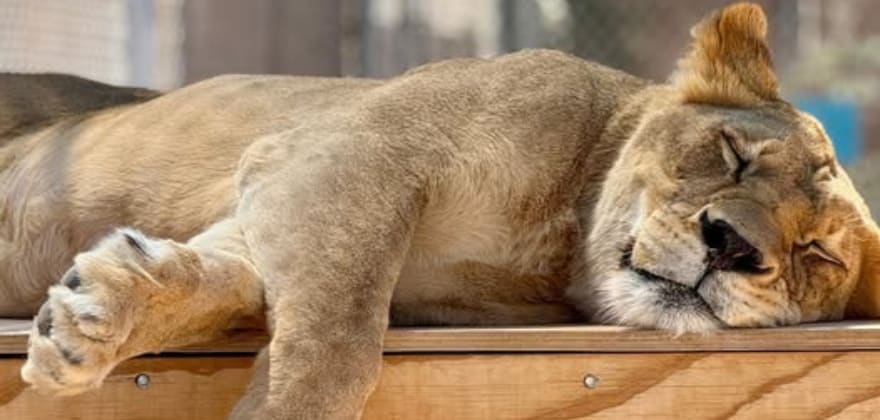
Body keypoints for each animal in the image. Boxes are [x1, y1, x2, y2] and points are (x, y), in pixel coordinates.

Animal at [6, 3, 879, 418]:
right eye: (735, 153)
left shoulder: (293, 191)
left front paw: (91, 315)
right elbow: (339, 336)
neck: (556, 242)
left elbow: (225, 282)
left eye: (817, 253)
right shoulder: (352, 149)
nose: (731, 245)